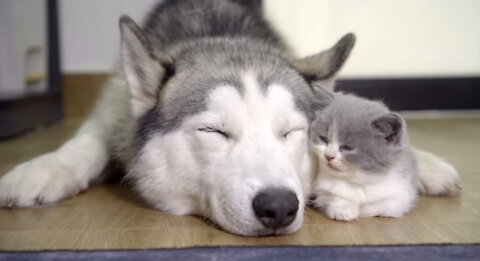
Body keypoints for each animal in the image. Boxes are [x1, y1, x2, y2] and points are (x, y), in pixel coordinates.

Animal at [310, 86, 418, 220]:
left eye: (347, 147)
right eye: (324, 139)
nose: (328, 156)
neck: (359, 180)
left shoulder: (404, 191)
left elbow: (387, 205)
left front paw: (364, 210)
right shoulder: (321, 189)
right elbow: (332, 195)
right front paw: (344, 208)